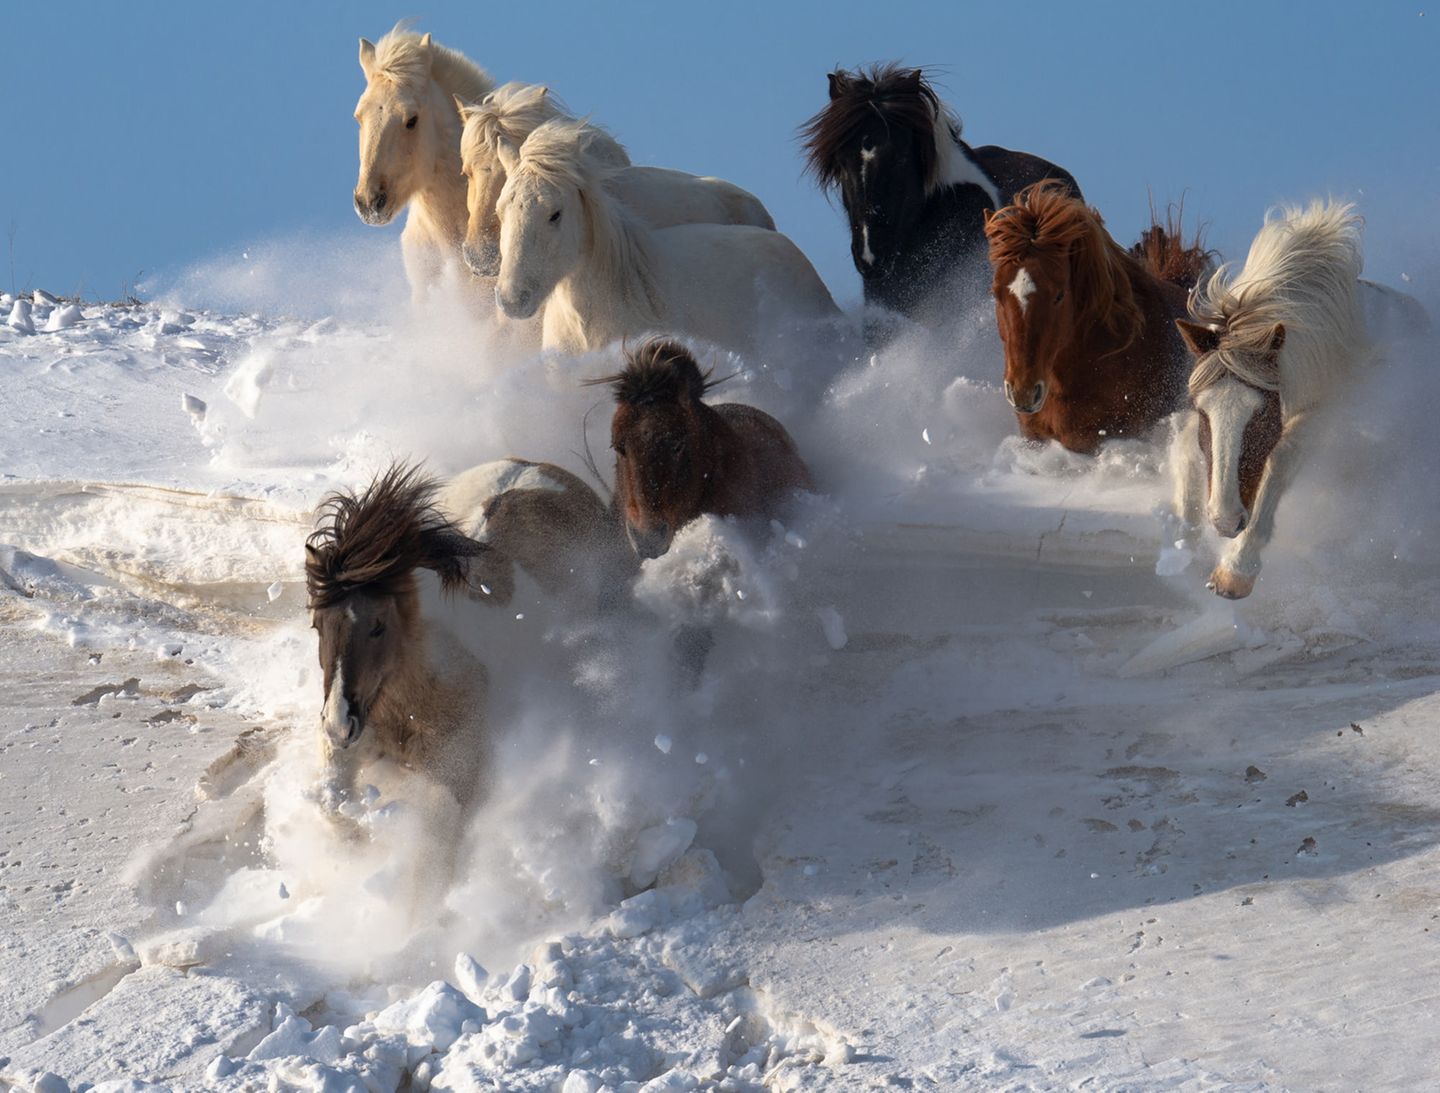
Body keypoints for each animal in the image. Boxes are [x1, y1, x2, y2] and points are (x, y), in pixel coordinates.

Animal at [1170, 200, 1369, 599]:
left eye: (1262, 413)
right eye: (1203, 411)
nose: (1226, 521)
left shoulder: (1313, 416)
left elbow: (1278, 463)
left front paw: (1236, 570)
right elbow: (1184, 447)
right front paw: (1185, 551)